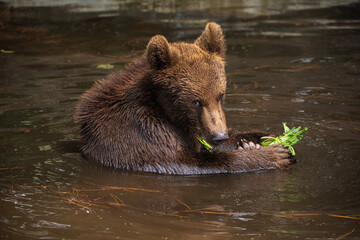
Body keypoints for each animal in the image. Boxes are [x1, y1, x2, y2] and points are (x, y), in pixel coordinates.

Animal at [75, 22, 292, 174]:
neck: (164, 108)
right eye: (196, 101)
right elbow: (182, 162)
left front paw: (262, 138)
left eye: (220, 95)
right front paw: (275, 154)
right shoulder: (141, 131)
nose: (219, 135)